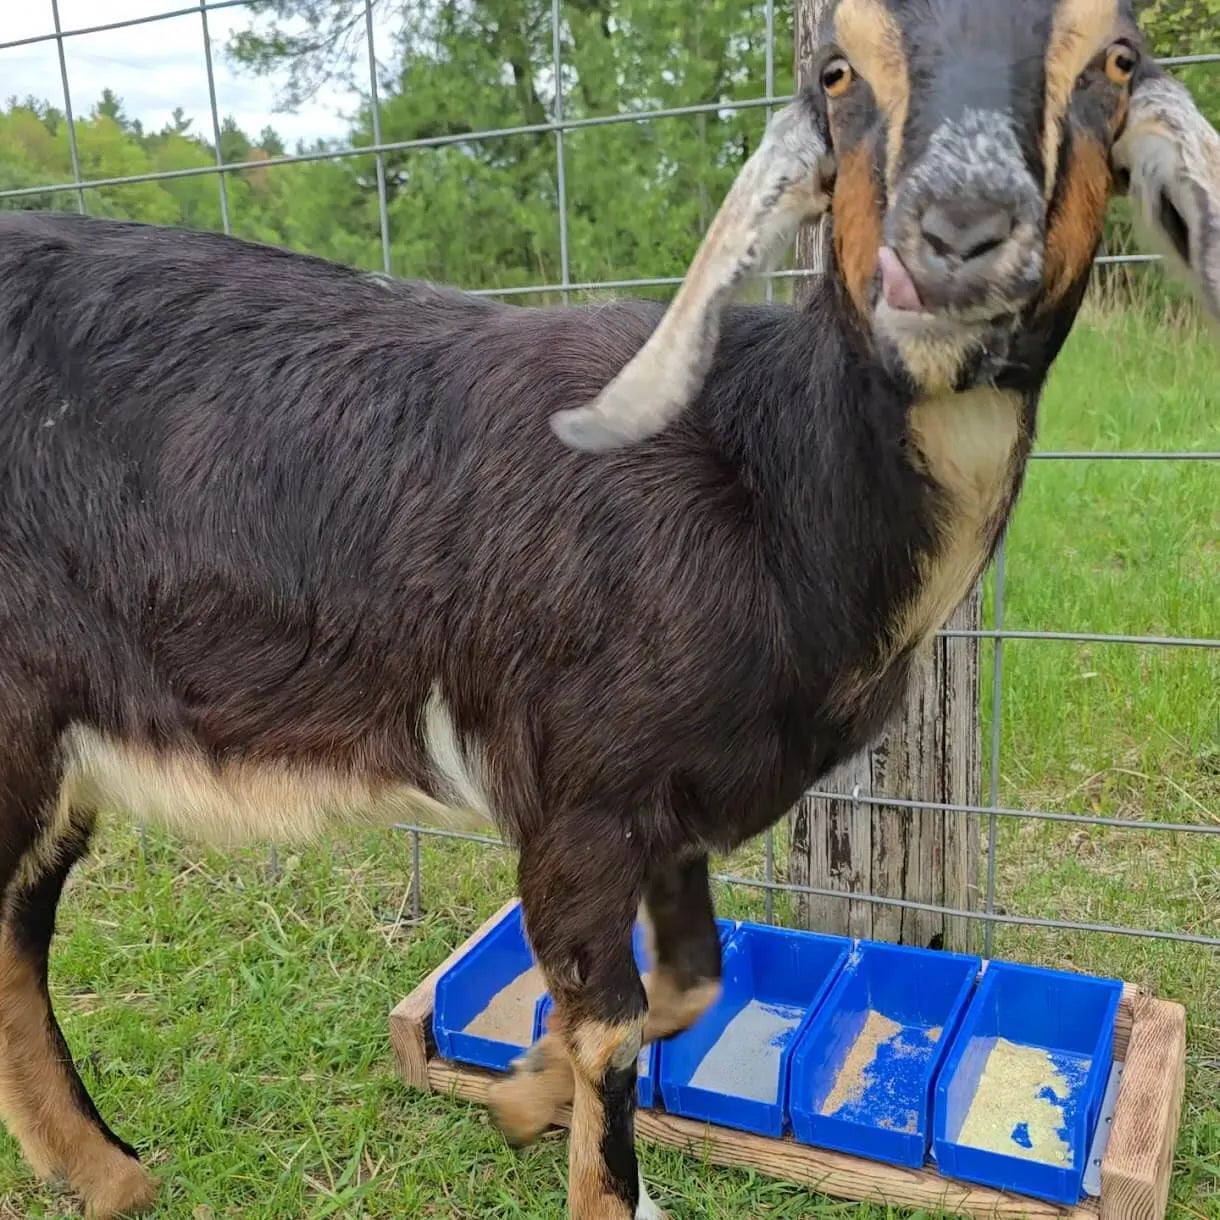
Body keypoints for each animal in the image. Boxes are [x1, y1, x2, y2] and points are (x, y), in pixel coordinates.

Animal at [0, 1, 1216, 1217]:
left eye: (1115, 60)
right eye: (834, 70)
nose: (959, 233)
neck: (763, 486)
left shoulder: (672, 806)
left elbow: (690, 985)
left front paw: (517, 1092)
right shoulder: (573, 797)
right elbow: (614, 1030)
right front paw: (571, 1137)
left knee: (15, 925)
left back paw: (104, 1173)